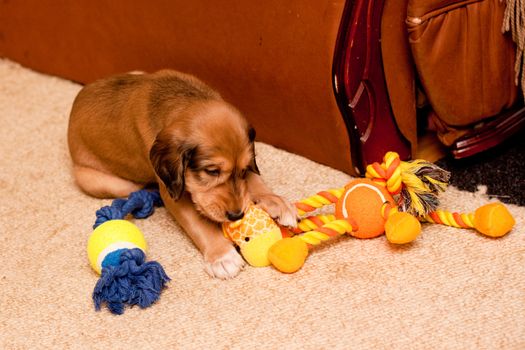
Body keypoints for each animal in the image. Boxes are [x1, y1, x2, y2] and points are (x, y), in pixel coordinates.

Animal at [67, 69, 296, 278]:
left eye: (243, 170)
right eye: (211, 171)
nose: (236, 215)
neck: (184, 102)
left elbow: (254, 180)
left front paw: (276, 202)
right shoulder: (172, 191)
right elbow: (198, 224)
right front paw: (222, 256)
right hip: (102, 181)